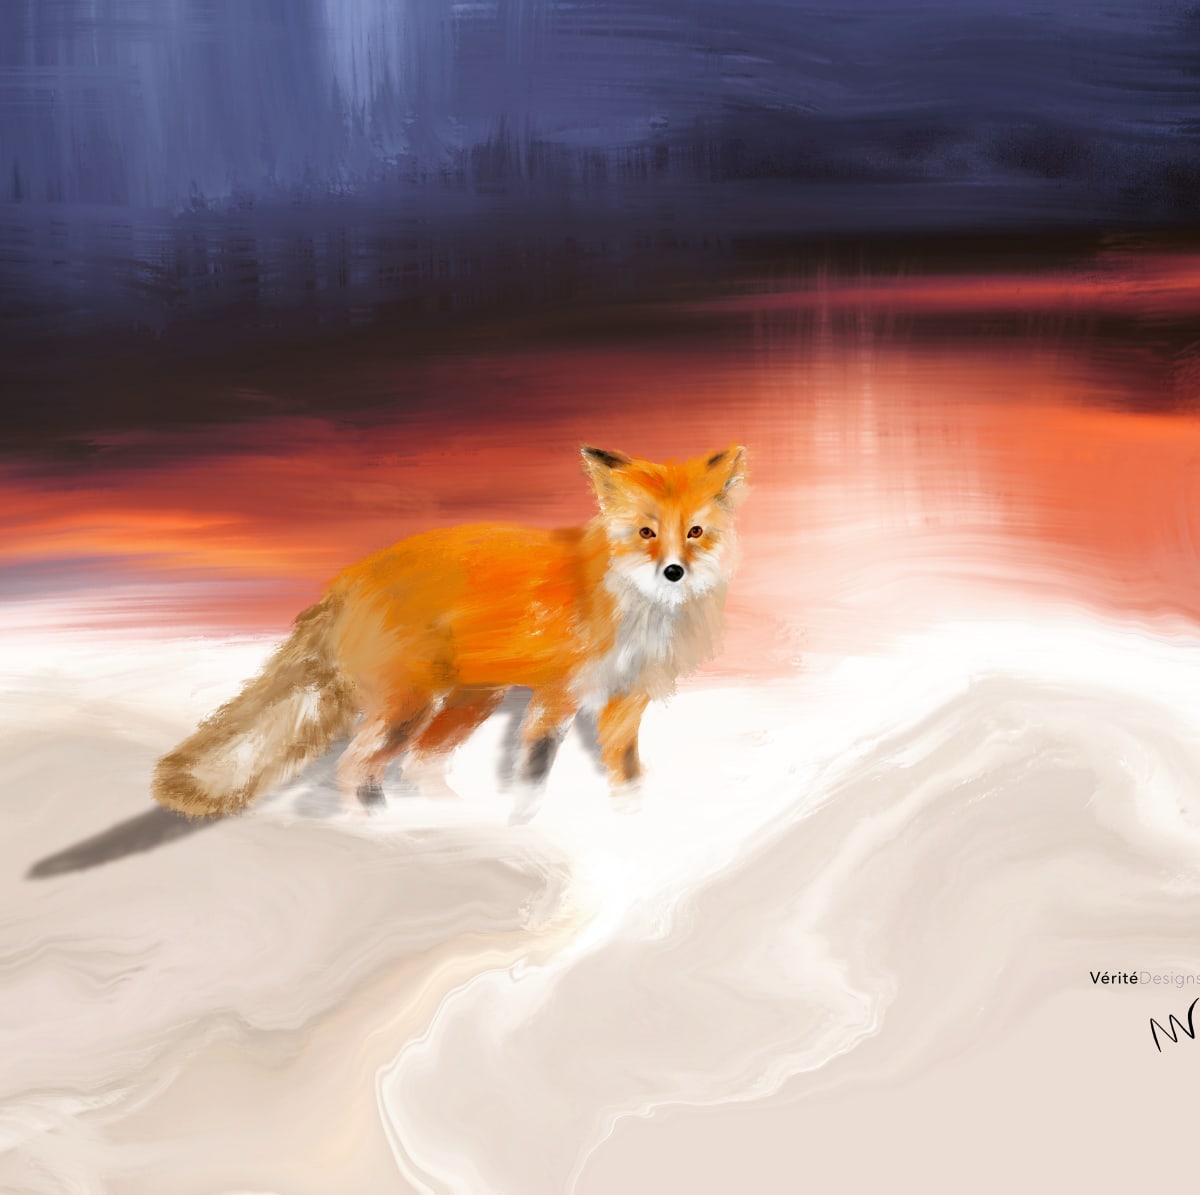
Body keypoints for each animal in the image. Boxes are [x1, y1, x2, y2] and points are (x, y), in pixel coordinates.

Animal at [152, 444, 748, 818]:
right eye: (647, 532)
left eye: (694, 532)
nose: (674, 572)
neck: (638, 610)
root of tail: (348, 579)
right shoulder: (557, 696)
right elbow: (533, 777)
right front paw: (526, 829)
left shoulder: (626, 701)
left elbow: (627, 777)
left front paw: (633, 827)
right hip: (410, 708)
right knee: (353, 768)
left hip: (469, 702)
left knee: (417, 768)